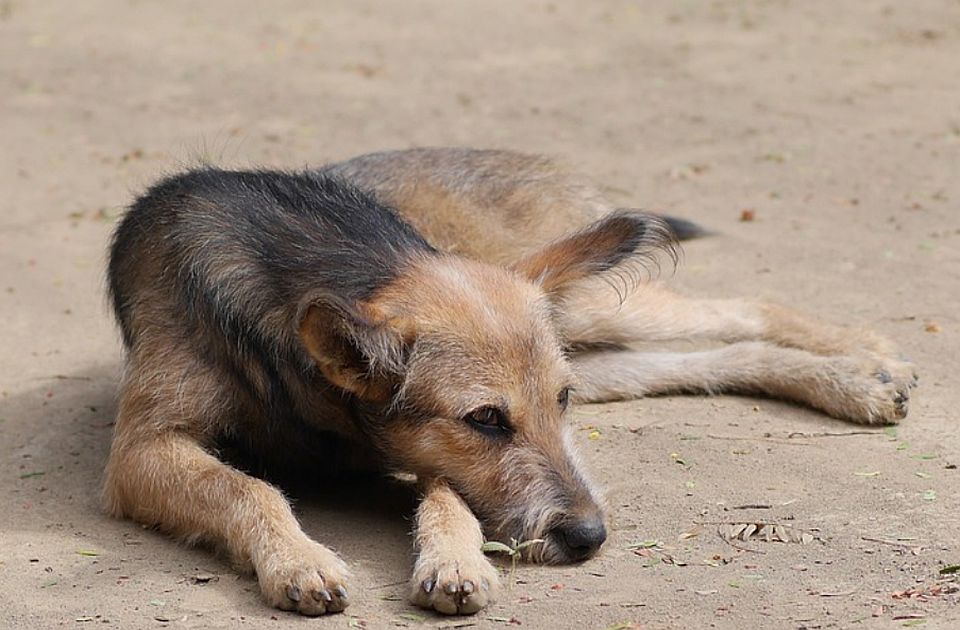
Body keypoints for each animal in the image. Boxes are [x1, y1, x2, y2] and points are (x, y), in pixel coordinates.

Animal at [103, 148, 916, 616]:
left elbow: (449, 499)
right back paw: (857, 378)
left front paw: (454, 560)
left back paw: (866, 357)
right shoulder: (143, 452)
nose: (590, 538)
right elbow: (249, 488)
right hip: (599, 345)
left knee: (744, 306)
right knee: (718, 355)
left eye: (558, 402)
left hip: (593, 314)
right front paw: (300, 558)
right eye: (487, 419)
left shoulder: (417, 450)